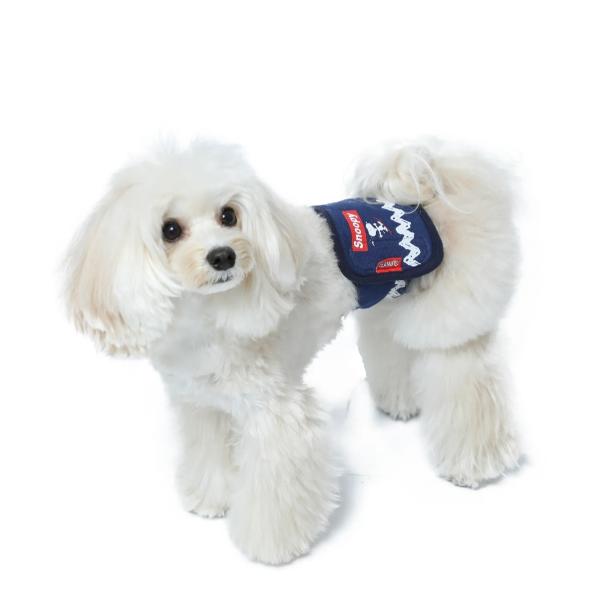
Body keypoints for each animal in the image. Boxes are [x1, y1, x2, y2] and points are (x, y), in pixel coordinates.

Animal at [64, 138, 521, 564]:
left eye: (228, 216)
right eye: (170, 230)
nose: (223, 256)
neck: (209, 315)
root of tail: (429, 187)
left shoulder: (275, 413)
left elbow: (275, 488)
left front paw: (270, 546)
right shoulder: (205, 405)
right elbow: (210, 455)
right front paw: (212, 499)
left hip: (448, 319)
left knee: (468, 381)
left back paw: (474, 463)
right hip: (391, 304)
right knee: (393, 346)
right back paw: (400, 403)